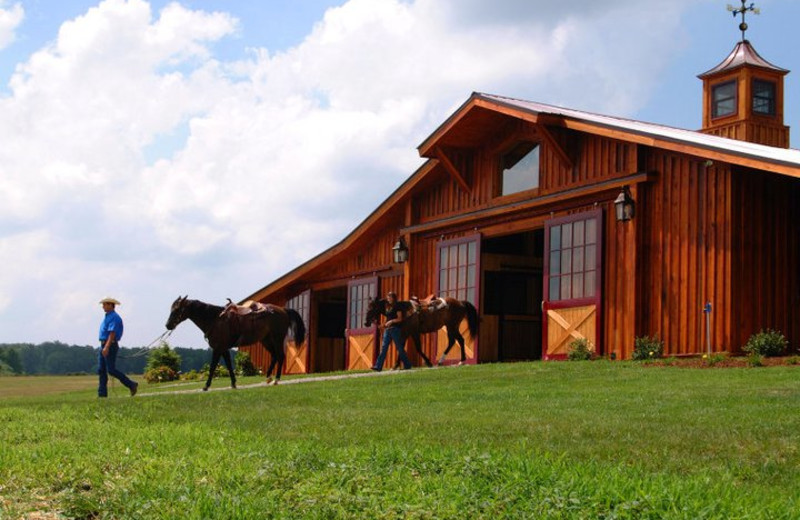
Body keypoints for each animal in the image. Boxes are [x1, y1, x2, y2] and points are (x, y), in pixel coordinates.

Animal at [166, 296, 306, 390]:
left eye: (177, 309)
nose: (168, 325)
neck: (215, 319)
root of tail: (283, 310)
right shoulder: (223, 349)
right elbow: (228, 365)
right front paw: (233, 383)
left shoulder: (218, 348)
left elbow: (212, 367)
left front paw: (206, 386)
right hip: (266, 340)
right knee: (275, 356)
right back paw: (268, 378)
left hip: (277, 338)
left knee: (281, 356)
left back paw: (276, 380)